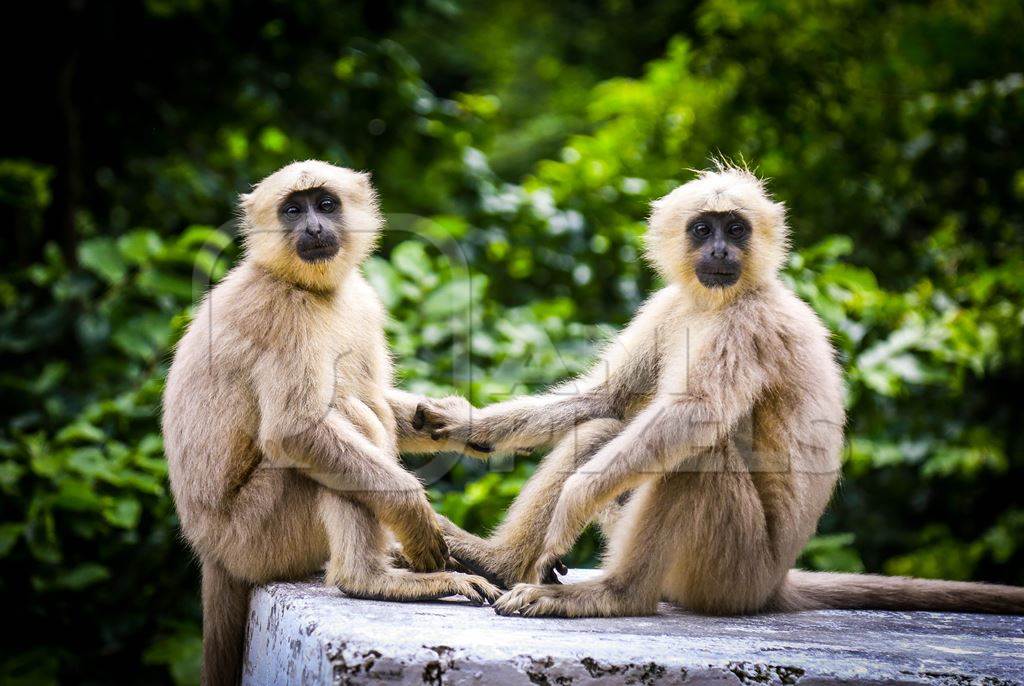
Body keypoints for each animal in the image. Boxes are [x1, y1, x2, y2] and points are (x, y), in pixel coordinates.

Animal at [161, 158, 501, 683]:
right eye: (292, 210)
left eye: (324, 204)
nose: (314, 228)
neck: (301, 284)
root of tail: (210, 551)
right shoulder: (282, 312)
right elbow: (295, 431)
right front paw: (416, 516)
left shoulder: (357, 299)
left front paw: (463, 424)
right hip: (254, 533)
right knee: (338, 422)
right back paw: (368, 580)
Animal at [413, 163, 1024, 622]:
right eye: (703, 230)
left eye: (736, 229)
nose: (722, 252)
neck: (722, 301)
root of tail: (774, 582)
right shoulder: (671, 303)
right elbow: (605, 401)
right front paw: (463, 425)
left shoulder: (749, 324)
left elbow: (697, 416)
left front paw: (571, 505)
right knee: (607, 427)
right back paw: (499, 562)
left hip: (730, 571)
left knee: (694, 452)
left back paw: (615, 595)